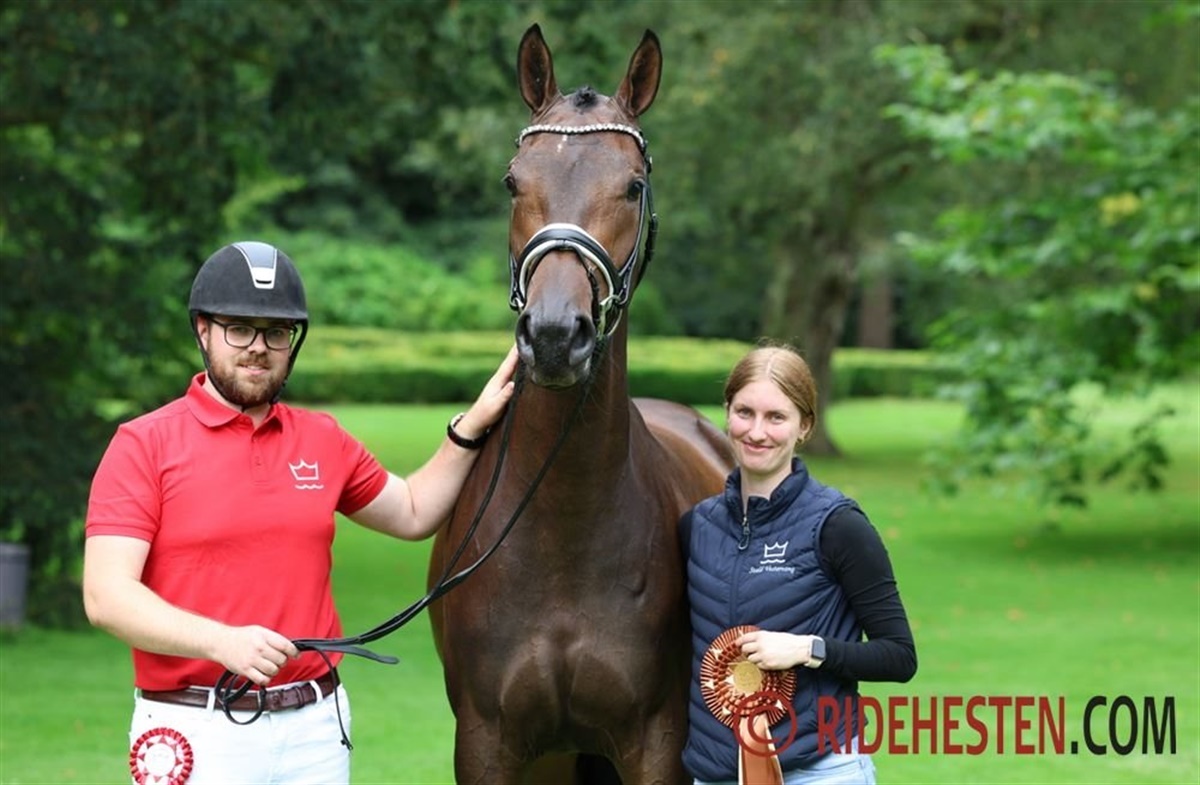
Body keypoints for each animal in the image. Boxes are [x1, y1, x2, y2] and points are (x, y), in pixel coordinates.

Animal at [427, 24, 734, 785]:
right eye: (514, 181)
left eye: (632, 186)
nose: (554, 336)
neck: (563, 529)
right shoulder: (488, 743)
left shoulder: (656, 743)